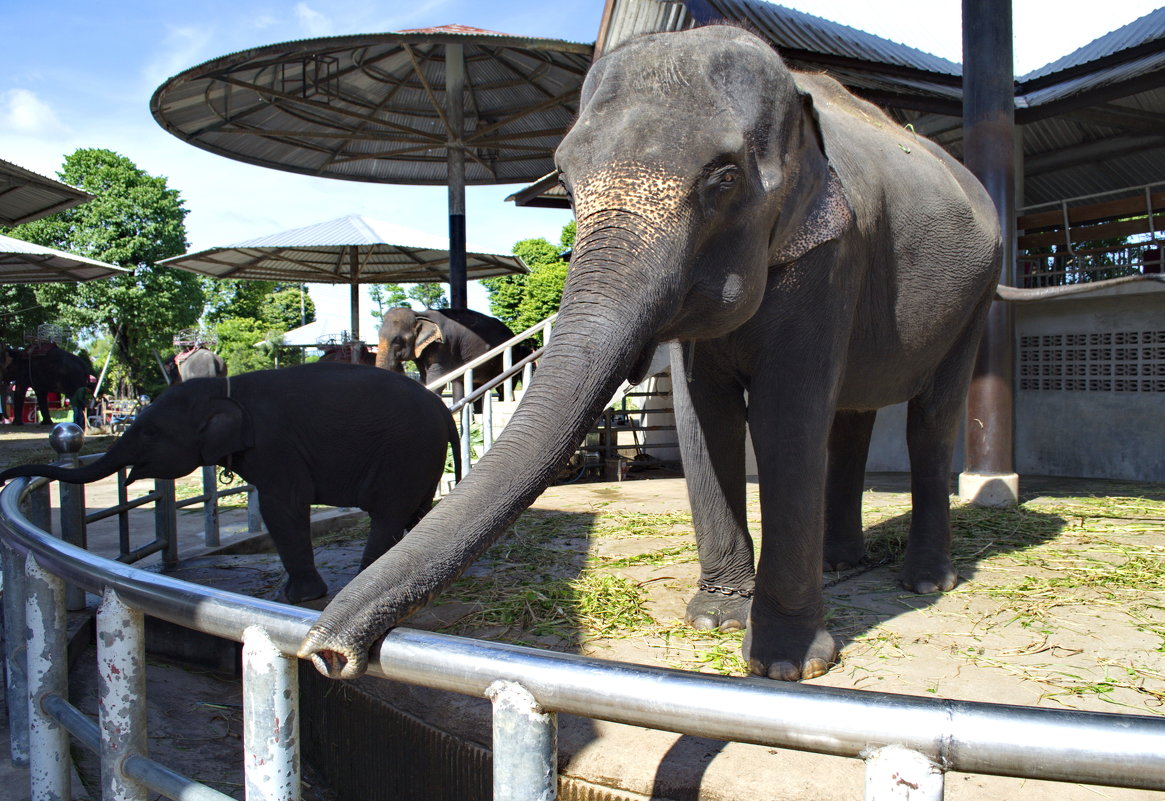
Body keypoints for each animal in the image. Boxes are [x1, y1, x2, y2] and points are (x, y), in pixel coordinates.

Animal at [0, 360, 463, 600]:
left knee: (388, 515)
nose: (5, 474)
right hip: (421, 458)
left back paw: (362, 580)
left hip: (407, 452)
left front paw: (295, 599)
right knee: (416, 512)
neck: (225, 390)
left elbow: (281, 507)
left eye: (149, 432)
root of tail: (443, 410)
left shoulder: (276, 445)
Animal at [375, 307, 531, 400]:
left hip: (514, 355)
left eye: (398, 340)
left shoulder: (443, 345)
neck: (419, 314)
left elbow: (436, 377)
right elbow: (424, 377)